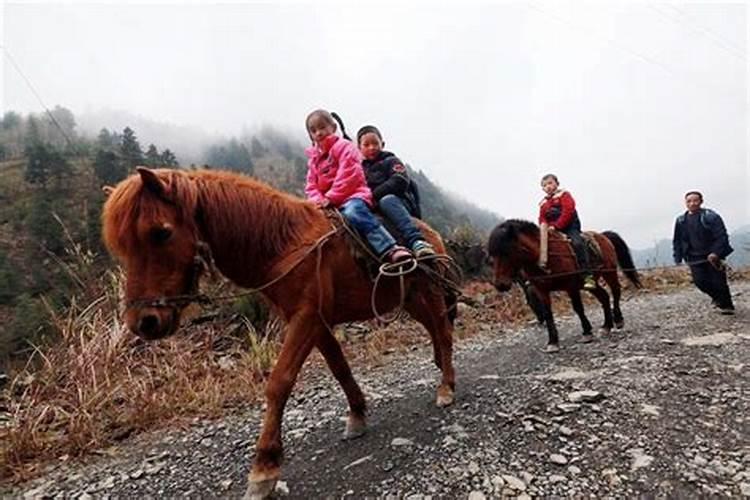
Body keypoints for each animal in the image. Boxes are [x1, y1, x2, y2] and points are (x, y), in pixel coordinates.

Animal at [102, 169, 456, 500]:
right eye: (122, 246)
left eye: (161, 232)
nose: (143, 322)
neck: (286, 244)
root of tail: (430, 234)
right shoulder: (314, 322)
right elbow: (339, 368)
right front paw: (357, 414)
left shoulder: (305, 319)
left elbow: (279, 382)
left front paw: (264, 468)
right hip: (410, 299)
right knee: (433, 330)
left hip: (430, 293)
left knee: (443, 332)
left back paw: (446, 387)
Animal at [490, 221, 644, 354]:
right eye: (492, 255)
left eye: (507, 252)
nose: (500, 284)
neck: (545, 255)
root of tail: (603, 235)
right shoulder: (541, 291)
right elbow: (548, 313)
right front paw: (552, 342)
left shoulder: (571, 286)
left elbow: (578, 308)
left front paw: (587, 332)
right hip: (590, 284)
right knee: (604, 297)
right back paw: (606, 326)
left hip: (609, 273)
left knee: (616, 292)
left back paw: (618, 320)